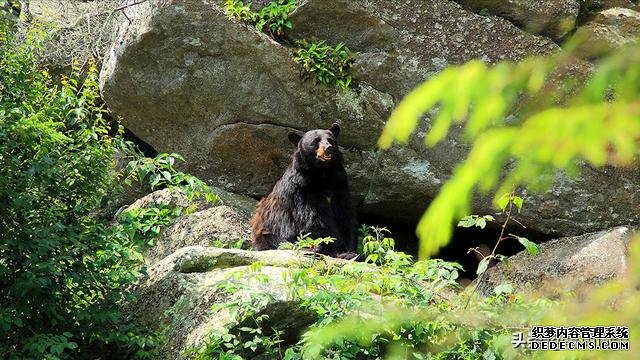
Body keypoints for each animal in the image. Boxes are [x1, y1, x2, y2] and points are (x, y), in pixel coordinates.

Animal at [250, 122, 358, 258]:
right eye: (316, 140)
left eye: (331, 140)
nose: (328, 148)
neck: (323, 173)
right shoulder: (302, 190)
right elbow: (316, 219)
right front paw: (338, 249)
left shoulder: (339, 186)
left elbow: (345, 215)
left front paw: (350, 251)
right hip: (269, 231)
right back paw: (312, 248)